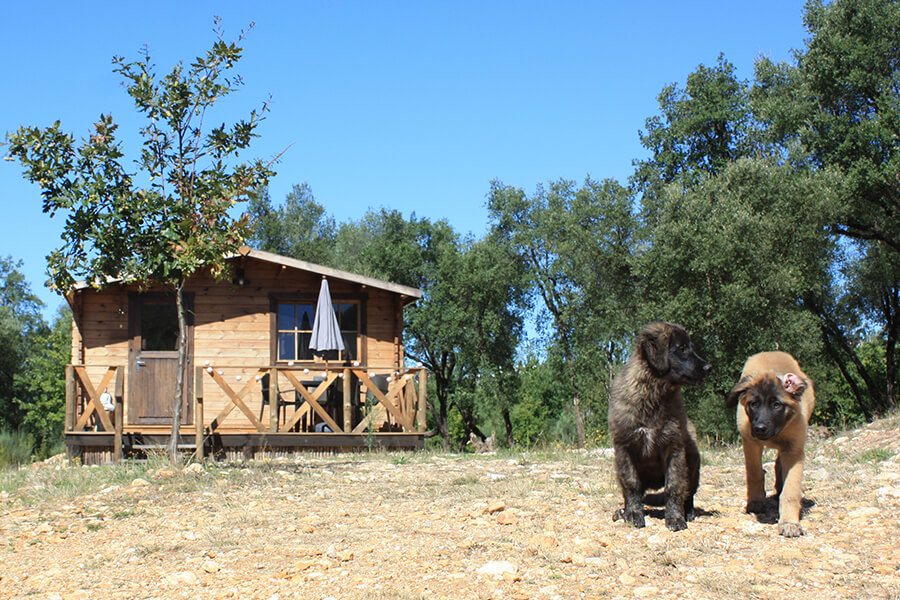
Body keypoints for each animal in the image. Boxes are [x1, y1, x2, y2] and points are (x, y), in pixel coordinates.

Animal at [612, 322, 712, 532]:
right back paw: (622, 511)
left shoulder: (674, 447)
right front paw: (632, 514)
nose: (709, 367)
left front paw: (675, 518)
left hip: (693, 463)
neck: (653, 395)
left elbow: (674, 486)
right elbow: (631, 484)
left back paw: (688, 512)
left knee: (688, 493)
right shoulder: (624, 447)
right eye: (681, 348)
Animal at [724, 350, 816, 536]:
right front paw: (755, 502)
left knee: (779, 464)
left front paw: (789, 522)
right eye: (753, 404)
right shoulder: (750, 443)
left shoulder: (794, 450)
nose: (760, 429)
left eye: (776, 405)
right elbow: (754, 473)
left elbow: (791, 489)